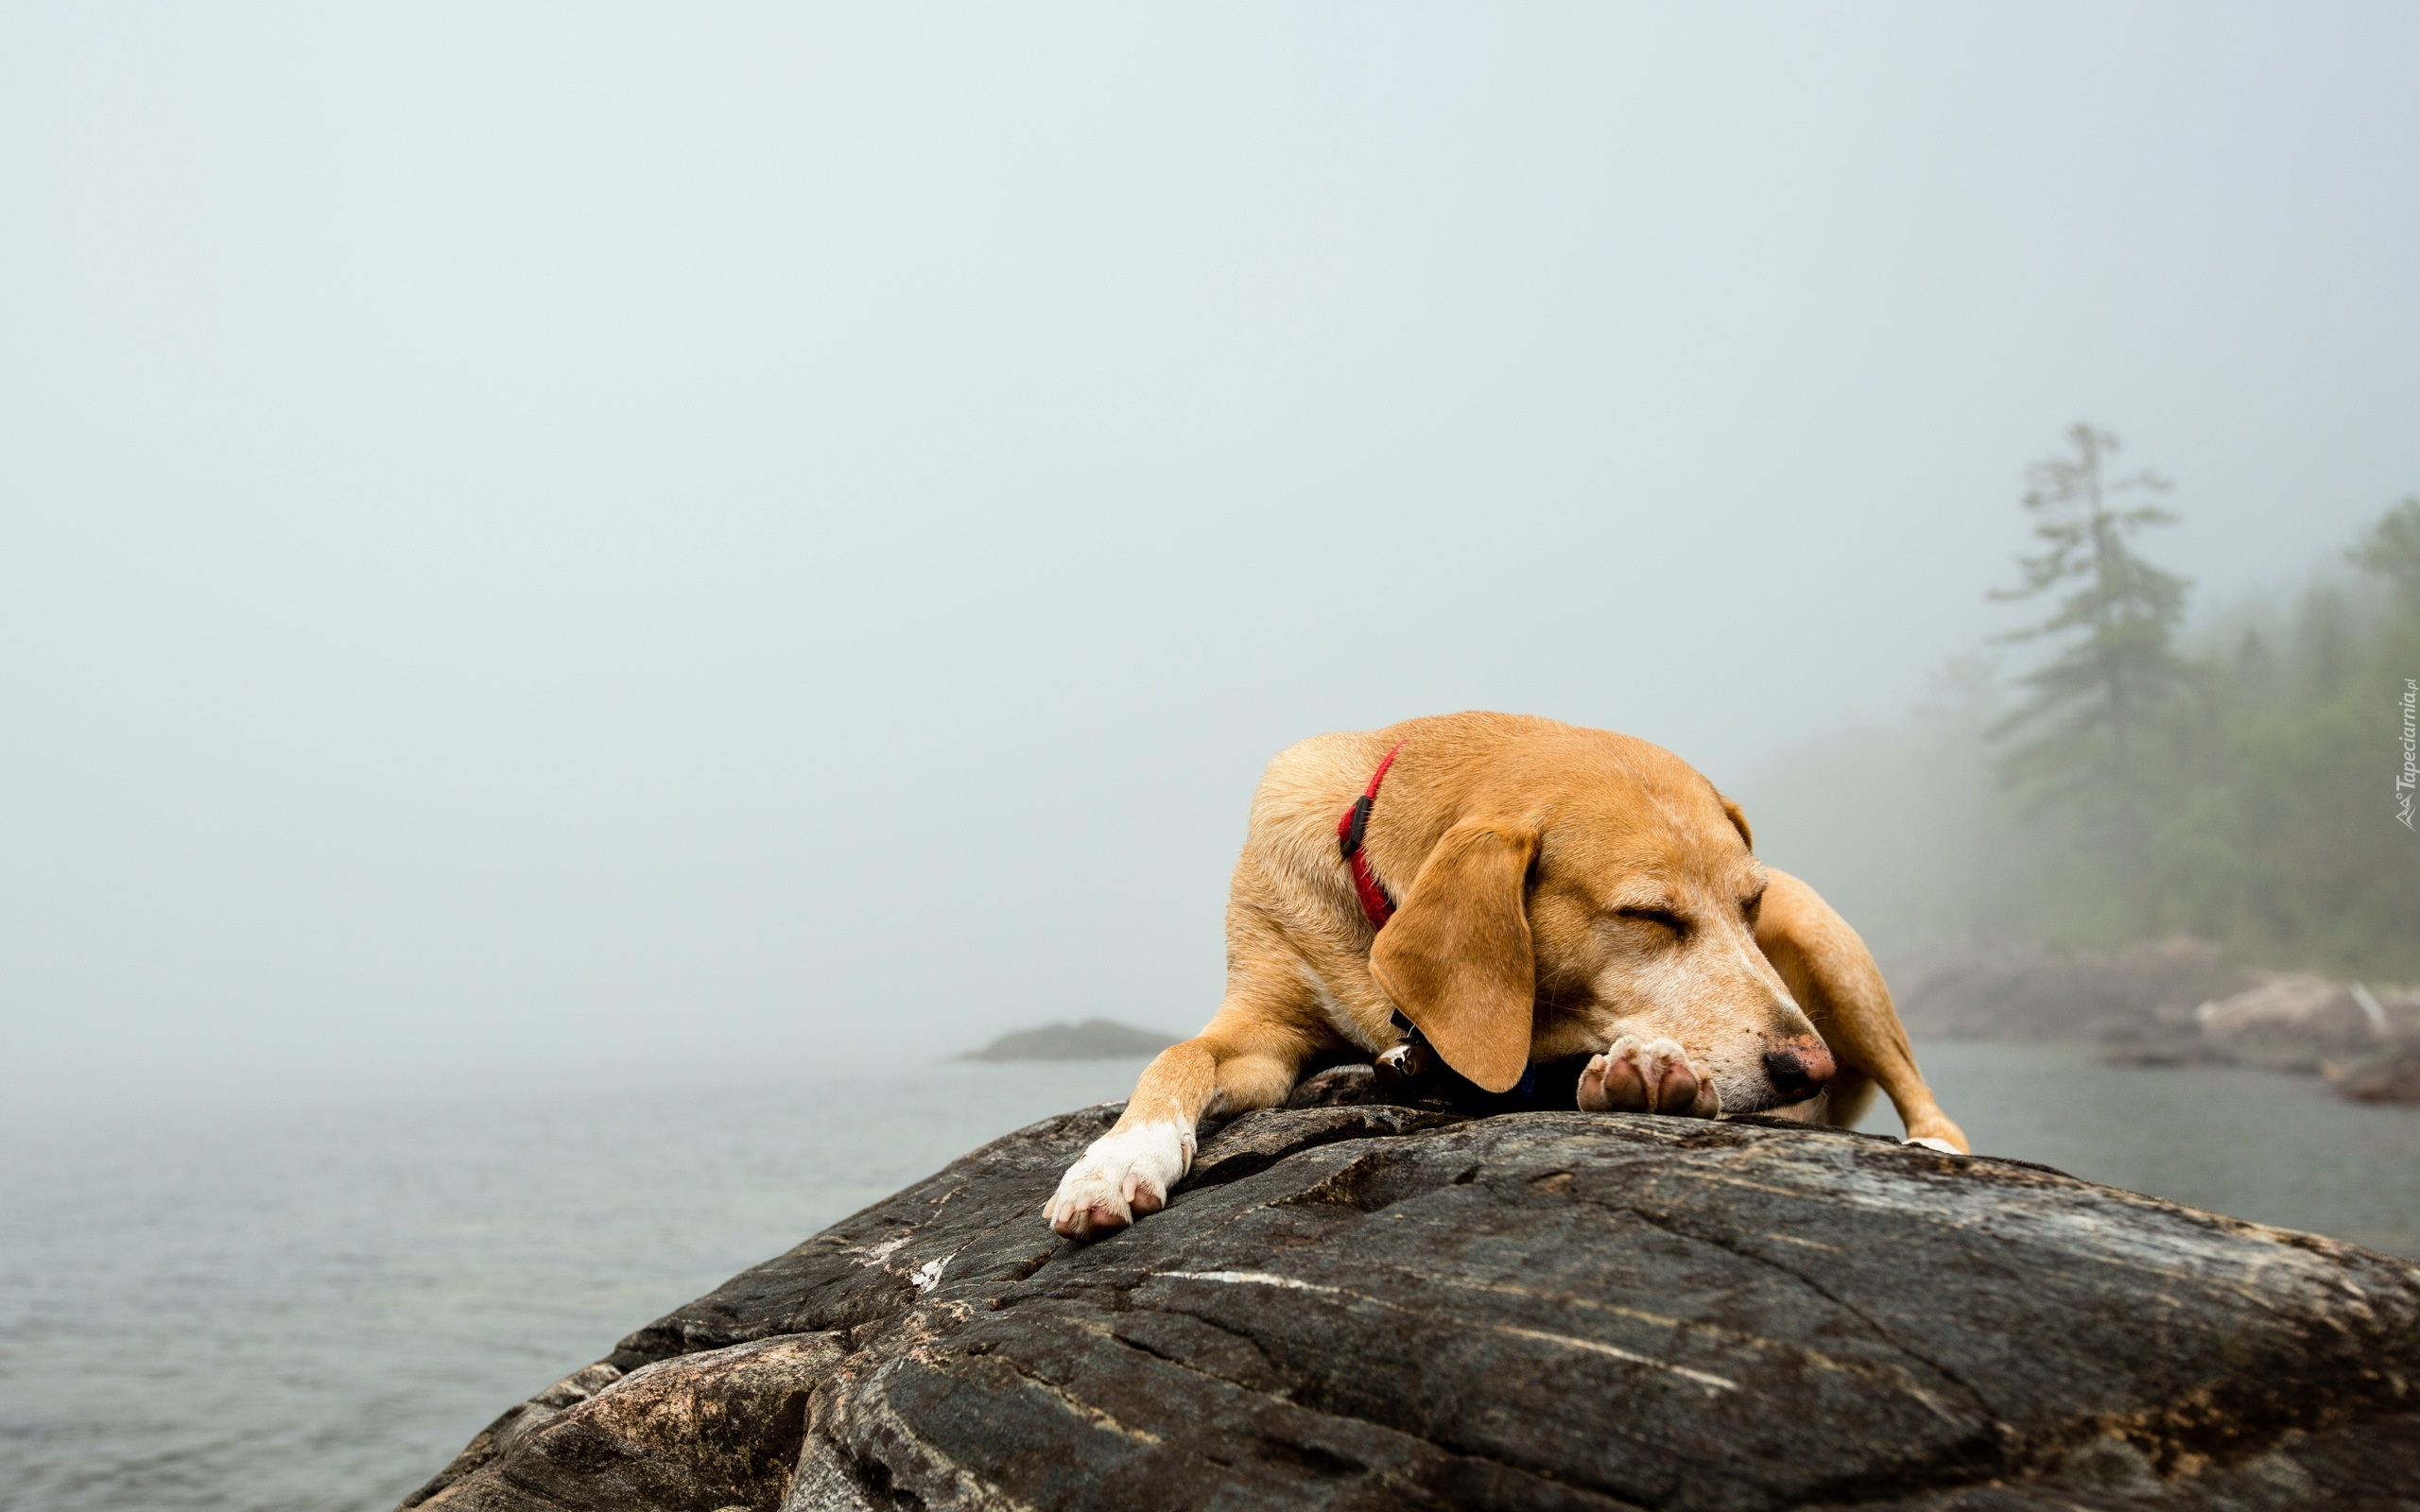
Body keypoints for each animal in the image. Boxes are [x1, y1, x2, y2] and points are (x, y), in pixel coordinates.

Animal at [1045, 711, 1964, 1238]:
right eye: (1648, 916)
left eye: (1748, 905)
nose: (1807, 1067)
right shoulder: (1262, 1031)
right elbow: (1177, 1057)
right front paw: (1115, 1161)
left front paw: (1648, 1073)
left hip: (1829, 946)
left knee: (1930, 1104)